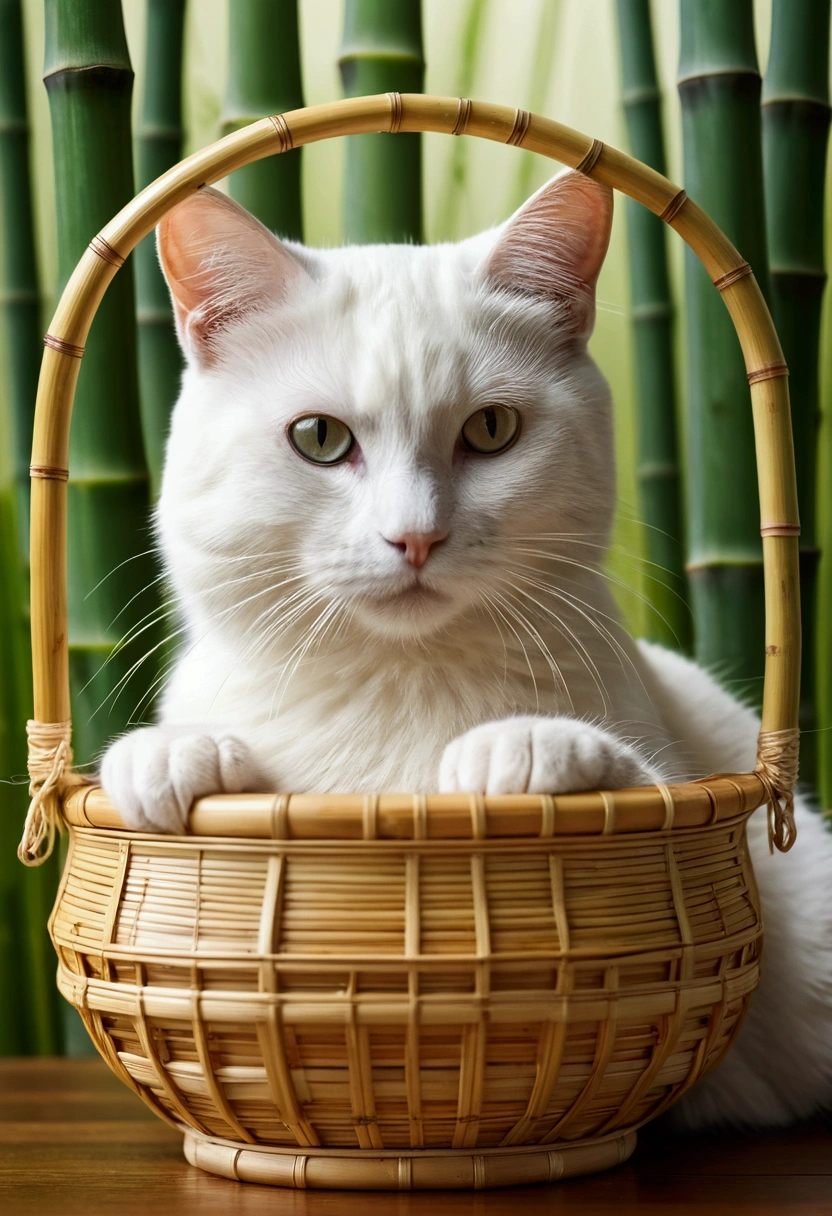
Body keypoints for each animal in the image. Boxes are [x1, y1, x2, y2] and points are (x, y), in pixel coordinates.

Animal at [100, 171, 827, 1128]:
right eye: (319, 438)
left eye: (490, 430)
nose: (415, 537)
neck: (399, 684)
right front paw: (168, 755)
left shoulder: (681, 800)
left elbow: (640, 779)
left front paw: (525, 747)